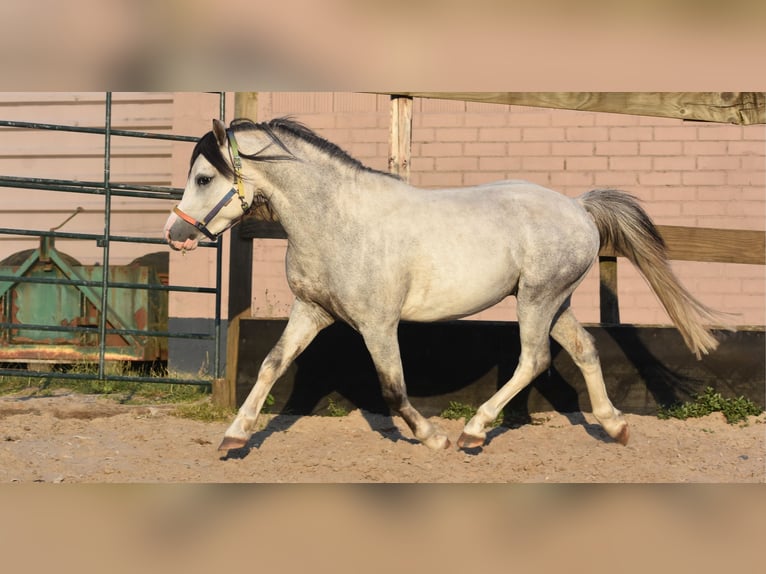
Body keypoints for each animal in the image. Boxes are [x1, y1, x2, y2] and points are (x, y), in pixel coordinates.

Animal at [164, 117, 724, 452]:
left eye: (204, 179)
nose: (175, 235)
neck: (337, 222)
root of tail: (579, 207)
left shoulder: (377, 323)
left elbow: (392, 390)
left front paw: (432, 438)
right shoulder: (311, 311)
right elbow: (271, 365)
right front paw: (235, 436)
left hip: (537, 300)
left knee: (534, 359)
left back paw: (474, 431)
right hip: (553, 301)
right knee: (584, 349)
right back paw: (614, 425)